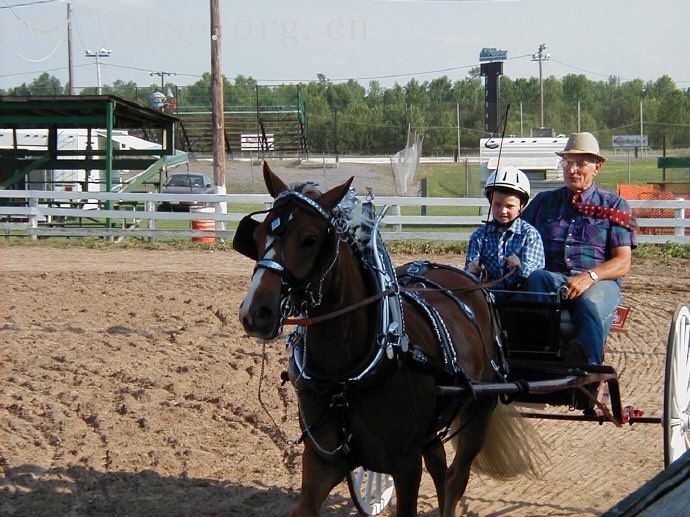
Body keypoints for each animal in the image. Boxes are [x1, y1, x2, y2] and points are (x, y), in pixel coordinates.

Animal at [236, 162, 536, 516]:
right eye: (256, 235)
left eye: (310, 239)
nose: (255, 312)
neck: (345, 378)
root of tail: (474, 281)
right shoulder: (321, 460)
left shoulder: (406, 465)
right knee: (440, 468)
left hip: (479, 413)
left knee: (455, 480)